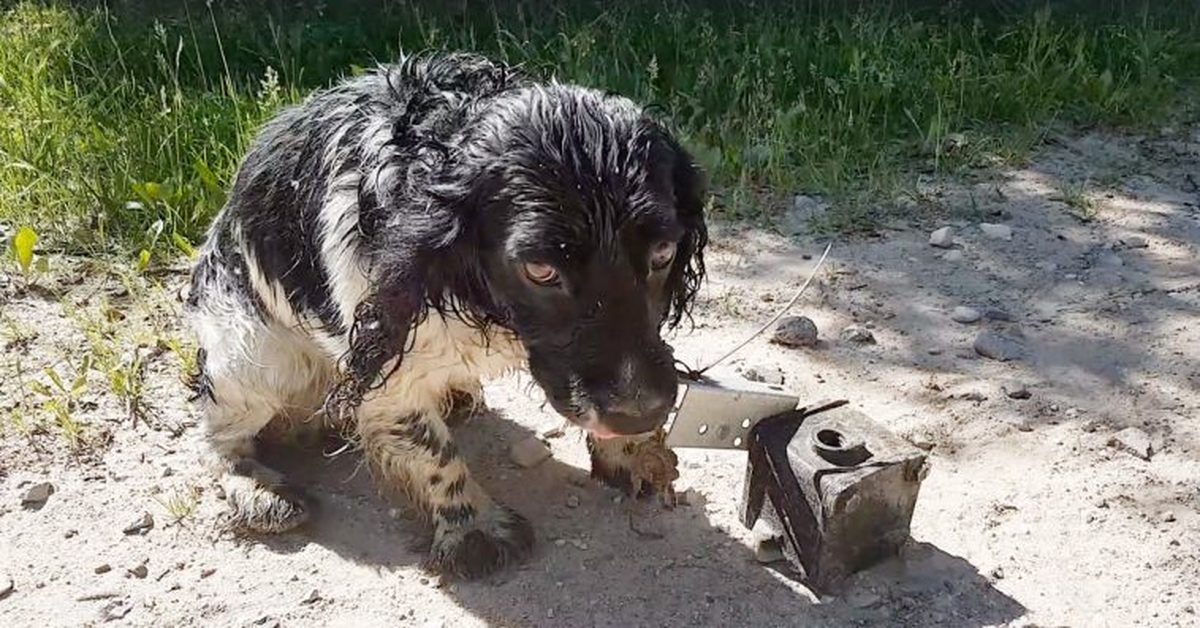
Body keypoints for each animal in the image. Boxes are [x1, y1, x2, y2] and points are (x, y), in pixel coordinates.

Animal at [186, 51, 700, 578]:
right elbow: (430, 448)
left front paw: (634, 454)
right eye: (540, 270)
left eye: (663, 252)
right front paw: (474, 528)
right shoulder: (385, 363)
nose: (641, 412)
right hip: (254, 357)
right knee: (215, 435)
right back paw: (257, 489)